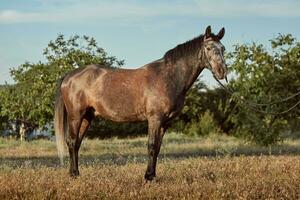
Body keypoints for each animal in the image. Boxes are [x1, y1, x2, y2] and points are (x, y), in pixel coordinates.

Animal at [54, 25, 227, 181]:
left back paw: (76, 173)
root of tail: (70, 75)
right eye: (209, 48)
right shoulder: (154, 119)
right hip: (75, 116)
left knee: (77, 143)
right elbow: (151, 146)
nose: (222, 72)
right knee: (71, 142)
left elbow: (157, 148)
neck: (168, 77)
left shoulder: (165, 123)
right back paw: (73, 175)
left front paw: (153, 176)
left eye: (223, 49)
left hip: (87, 117)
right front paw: (148, 177)